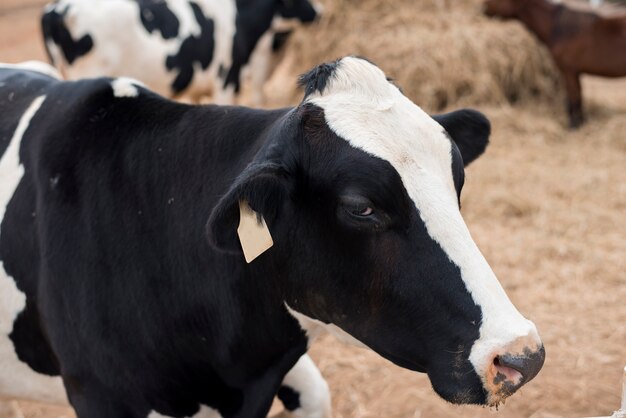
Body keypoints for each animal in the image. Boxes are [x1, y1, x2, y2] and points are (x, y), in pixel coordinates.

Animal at [482, 0, 624, 128]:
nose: (482, 8)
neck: (557, 27)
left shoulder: (568, 71)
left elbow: (573, 99)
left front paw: (574, 126)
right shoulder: (574, 73)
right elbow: (577, 97)